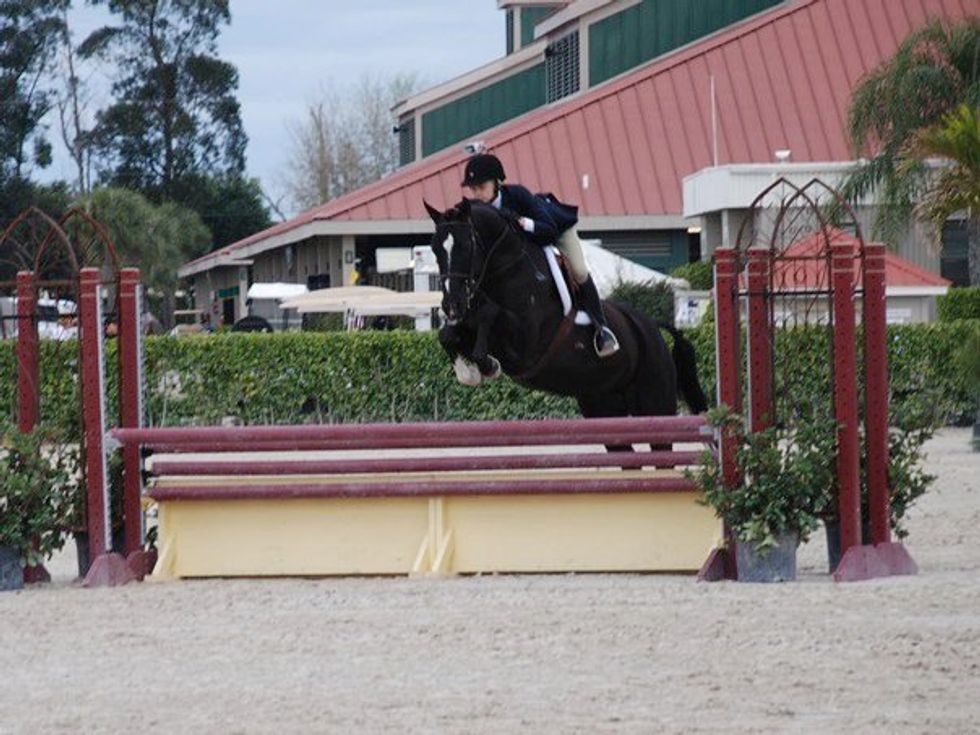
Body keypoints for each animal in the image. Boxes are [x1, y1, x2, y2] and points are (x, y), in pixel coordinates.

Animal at [424, 198, 708, 435]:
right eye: (435, 249)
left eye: (466, 246)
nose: (451, 305)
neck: (506, 269)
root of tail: (653, 327)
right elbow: (448, 333)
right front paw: (468, 370)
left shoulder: (525, 344)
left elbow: (489, 314)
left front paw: (486, 365)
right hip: (602, 406)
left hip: (655, 402)